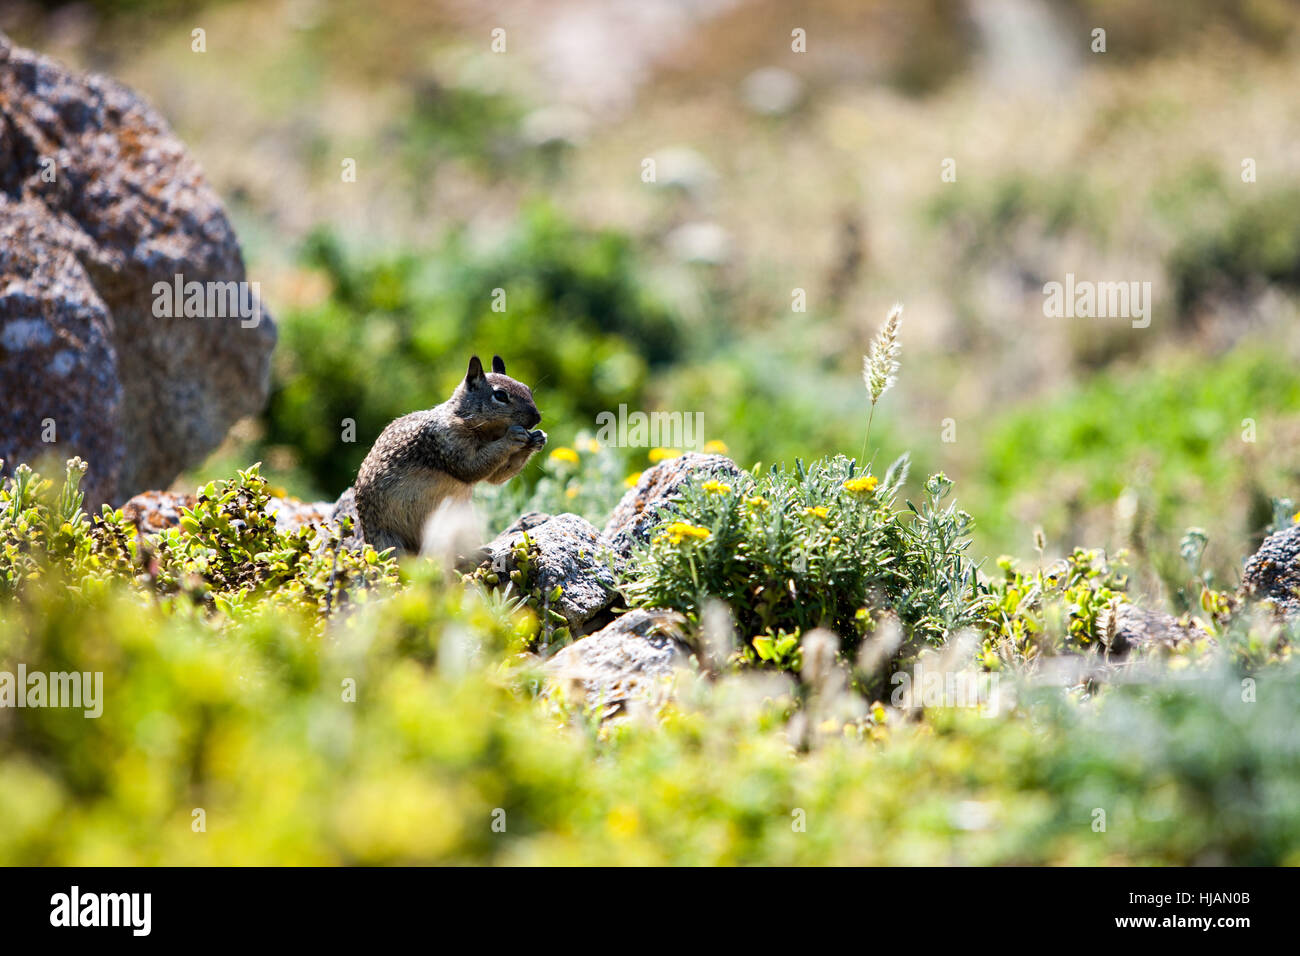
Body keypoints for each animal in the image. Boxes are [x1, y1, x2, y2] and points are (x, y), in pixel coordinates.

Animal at [345, 356, 543, 554]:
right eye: (500, 395)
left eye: (527, 389)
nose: (537, 418)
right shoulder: (445, 440)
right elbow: (472, 467)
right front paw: (512, 436)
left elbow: (496, 478)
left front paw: (538, 438)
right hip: (388, 540)